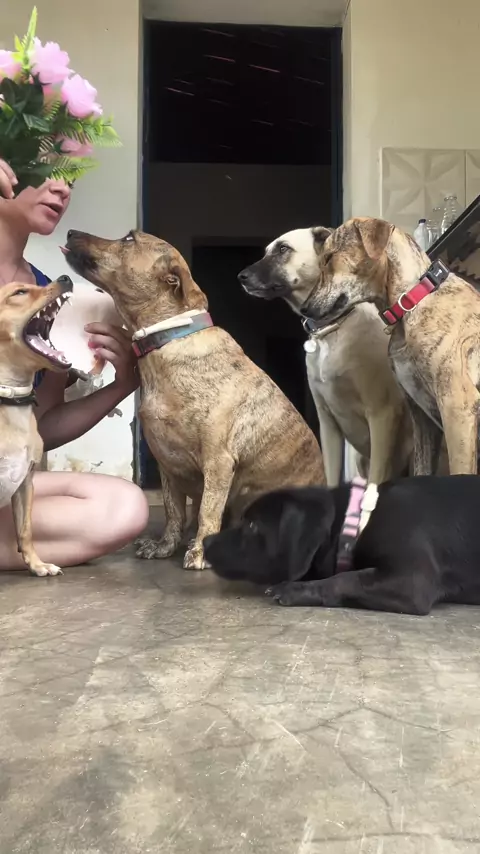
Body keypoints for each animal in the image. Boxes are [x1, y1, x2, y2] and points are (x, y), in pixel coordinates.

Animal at [64, 229, 325, 570]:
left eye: (129, 238)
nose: (70, 231)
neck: (167, 341)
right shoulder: (166, 463)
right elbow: (174, 511)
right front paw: (165, 546)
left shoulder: (218, 461)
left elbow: (207, 512)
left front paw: (200, 551)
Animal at [204, 475, 480, 615]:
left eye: (252, 525)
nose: (205, 541)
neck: (360, 519)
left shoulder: (411, 581)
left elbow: (346, 579)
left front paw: (293, 589)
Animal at [238, 228, 412, 486]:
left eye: (283, 249)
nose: (241, 276)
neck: (331, 328)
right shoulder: (328, 424)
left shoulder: (382, 414)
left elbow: (375, 477)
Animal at [297, 217, 480, 476]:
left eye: (329, 258)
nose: (304, 309)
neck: (411, 302)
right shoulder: (421, 416)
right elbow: (422, 470)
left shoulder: (457, 406)